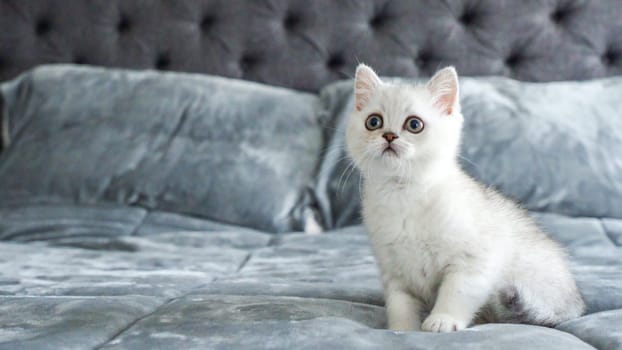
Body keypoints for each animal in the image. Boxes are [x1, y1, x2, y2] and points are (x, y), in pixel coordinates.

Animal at [346, 65, 584, 330]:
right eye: (373, 121)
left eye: (414, 124)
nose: (388, 135)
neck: (403, 193)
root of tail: (575, 304)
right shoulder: (395, 272)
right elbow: (399, 305)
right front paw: (402, 329)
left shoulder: (475, 260)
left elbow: (456, 292)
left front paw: (442, 319)